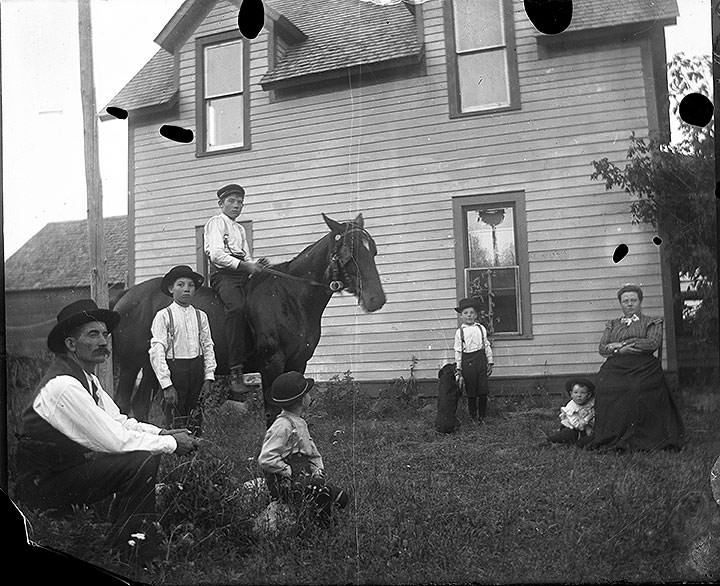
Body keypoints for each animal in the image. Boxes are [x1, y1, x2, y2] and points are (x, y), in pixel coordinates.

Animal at [110, 212, 386, 422]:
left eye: (372, 251)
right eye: (349, 252)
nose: (376, 299)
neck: (290, 296)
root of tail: (125, 296)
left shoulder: (298, 362)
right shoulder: (271, 363)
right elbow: (273, 411)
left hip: (151, 366)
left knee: (141, 403)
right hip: (130, 364)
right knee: (123, 402)